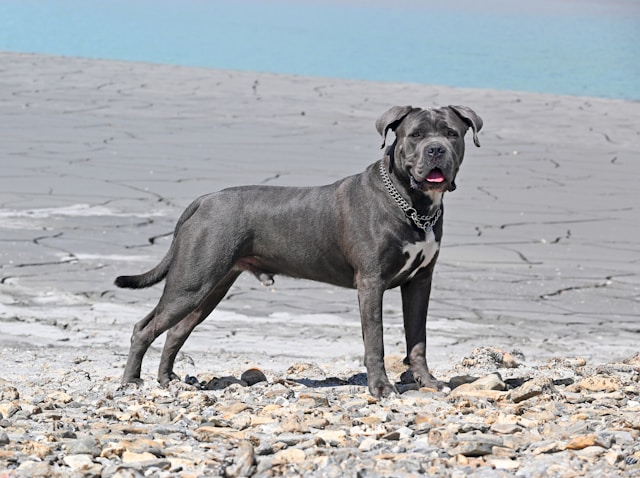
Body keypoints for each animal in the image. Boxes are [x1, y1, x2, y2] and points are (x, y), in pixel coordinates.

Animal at [117, 105, 482, 400]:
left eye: (451, 133)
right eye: (415, 135)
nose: (435, 150)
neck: (412, 204)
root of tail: (204, 200)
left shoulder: (420, 282)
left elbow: (417, 339)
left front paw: (428, 382)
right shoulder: (371, 283)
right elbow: (375, 340)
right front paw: (380, 387)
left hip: (211, 288)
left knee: (176, 330)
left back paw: (167, 379)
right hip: (191, 284)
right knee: (145, 328)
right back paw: (132, 380)